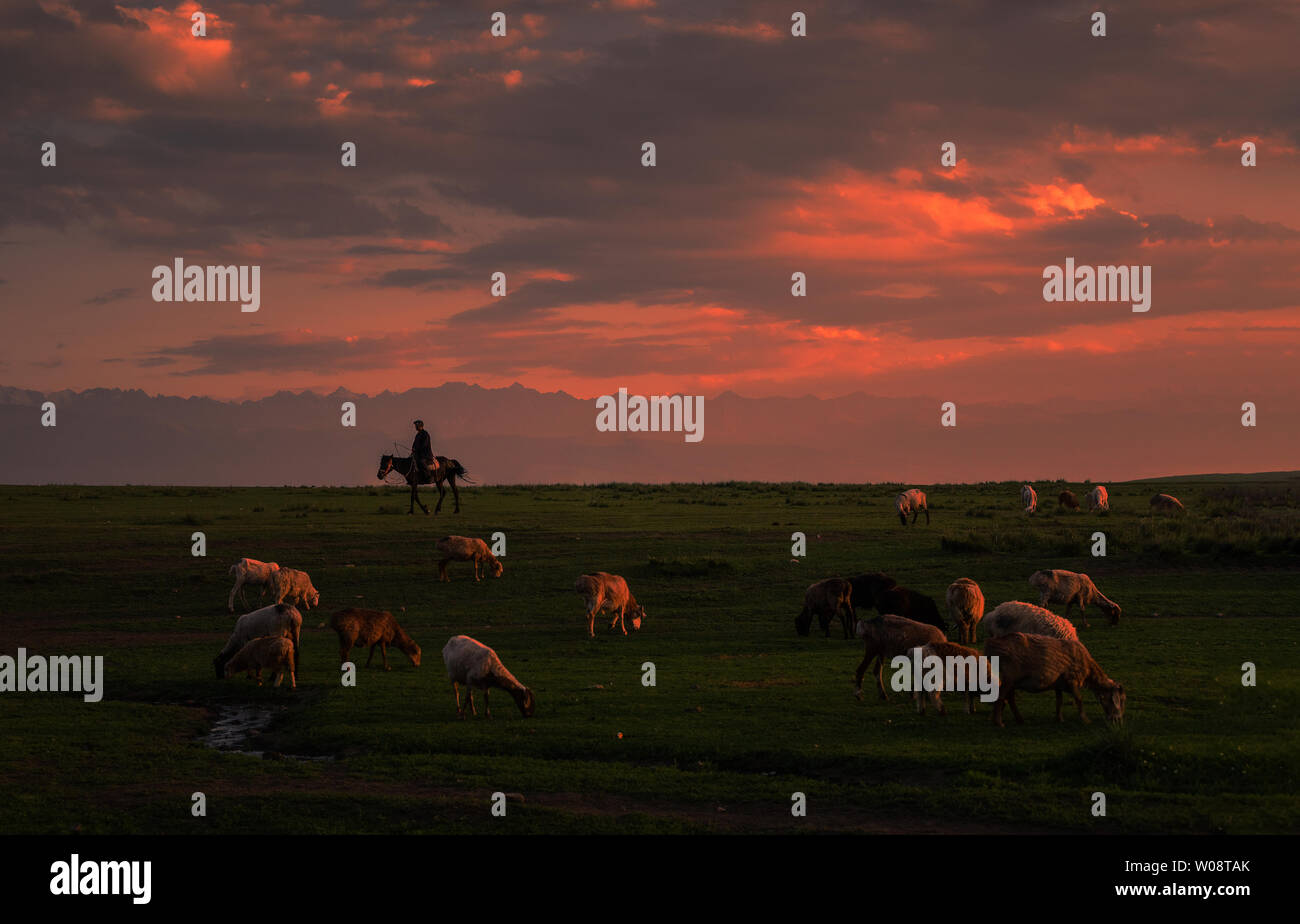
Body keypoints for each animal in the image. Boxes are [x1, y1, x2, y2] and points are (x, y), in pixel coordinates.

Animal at [977, 631, 1123, 727]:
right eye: (1119, 701)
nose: (1118, 720)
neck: (1088, 670)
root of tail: (992, 643)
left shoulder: (1059, 682)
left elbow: (1059, 700)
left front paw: (1059, 718)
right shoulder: (1072, 679)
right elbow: (1079, 699)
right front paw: (1085, 719)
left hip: (1012, 680)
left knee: (1010, 698)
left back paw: (1019, 719)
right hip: (1010, 675)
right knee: (1001, 697)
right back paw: (998, 722)